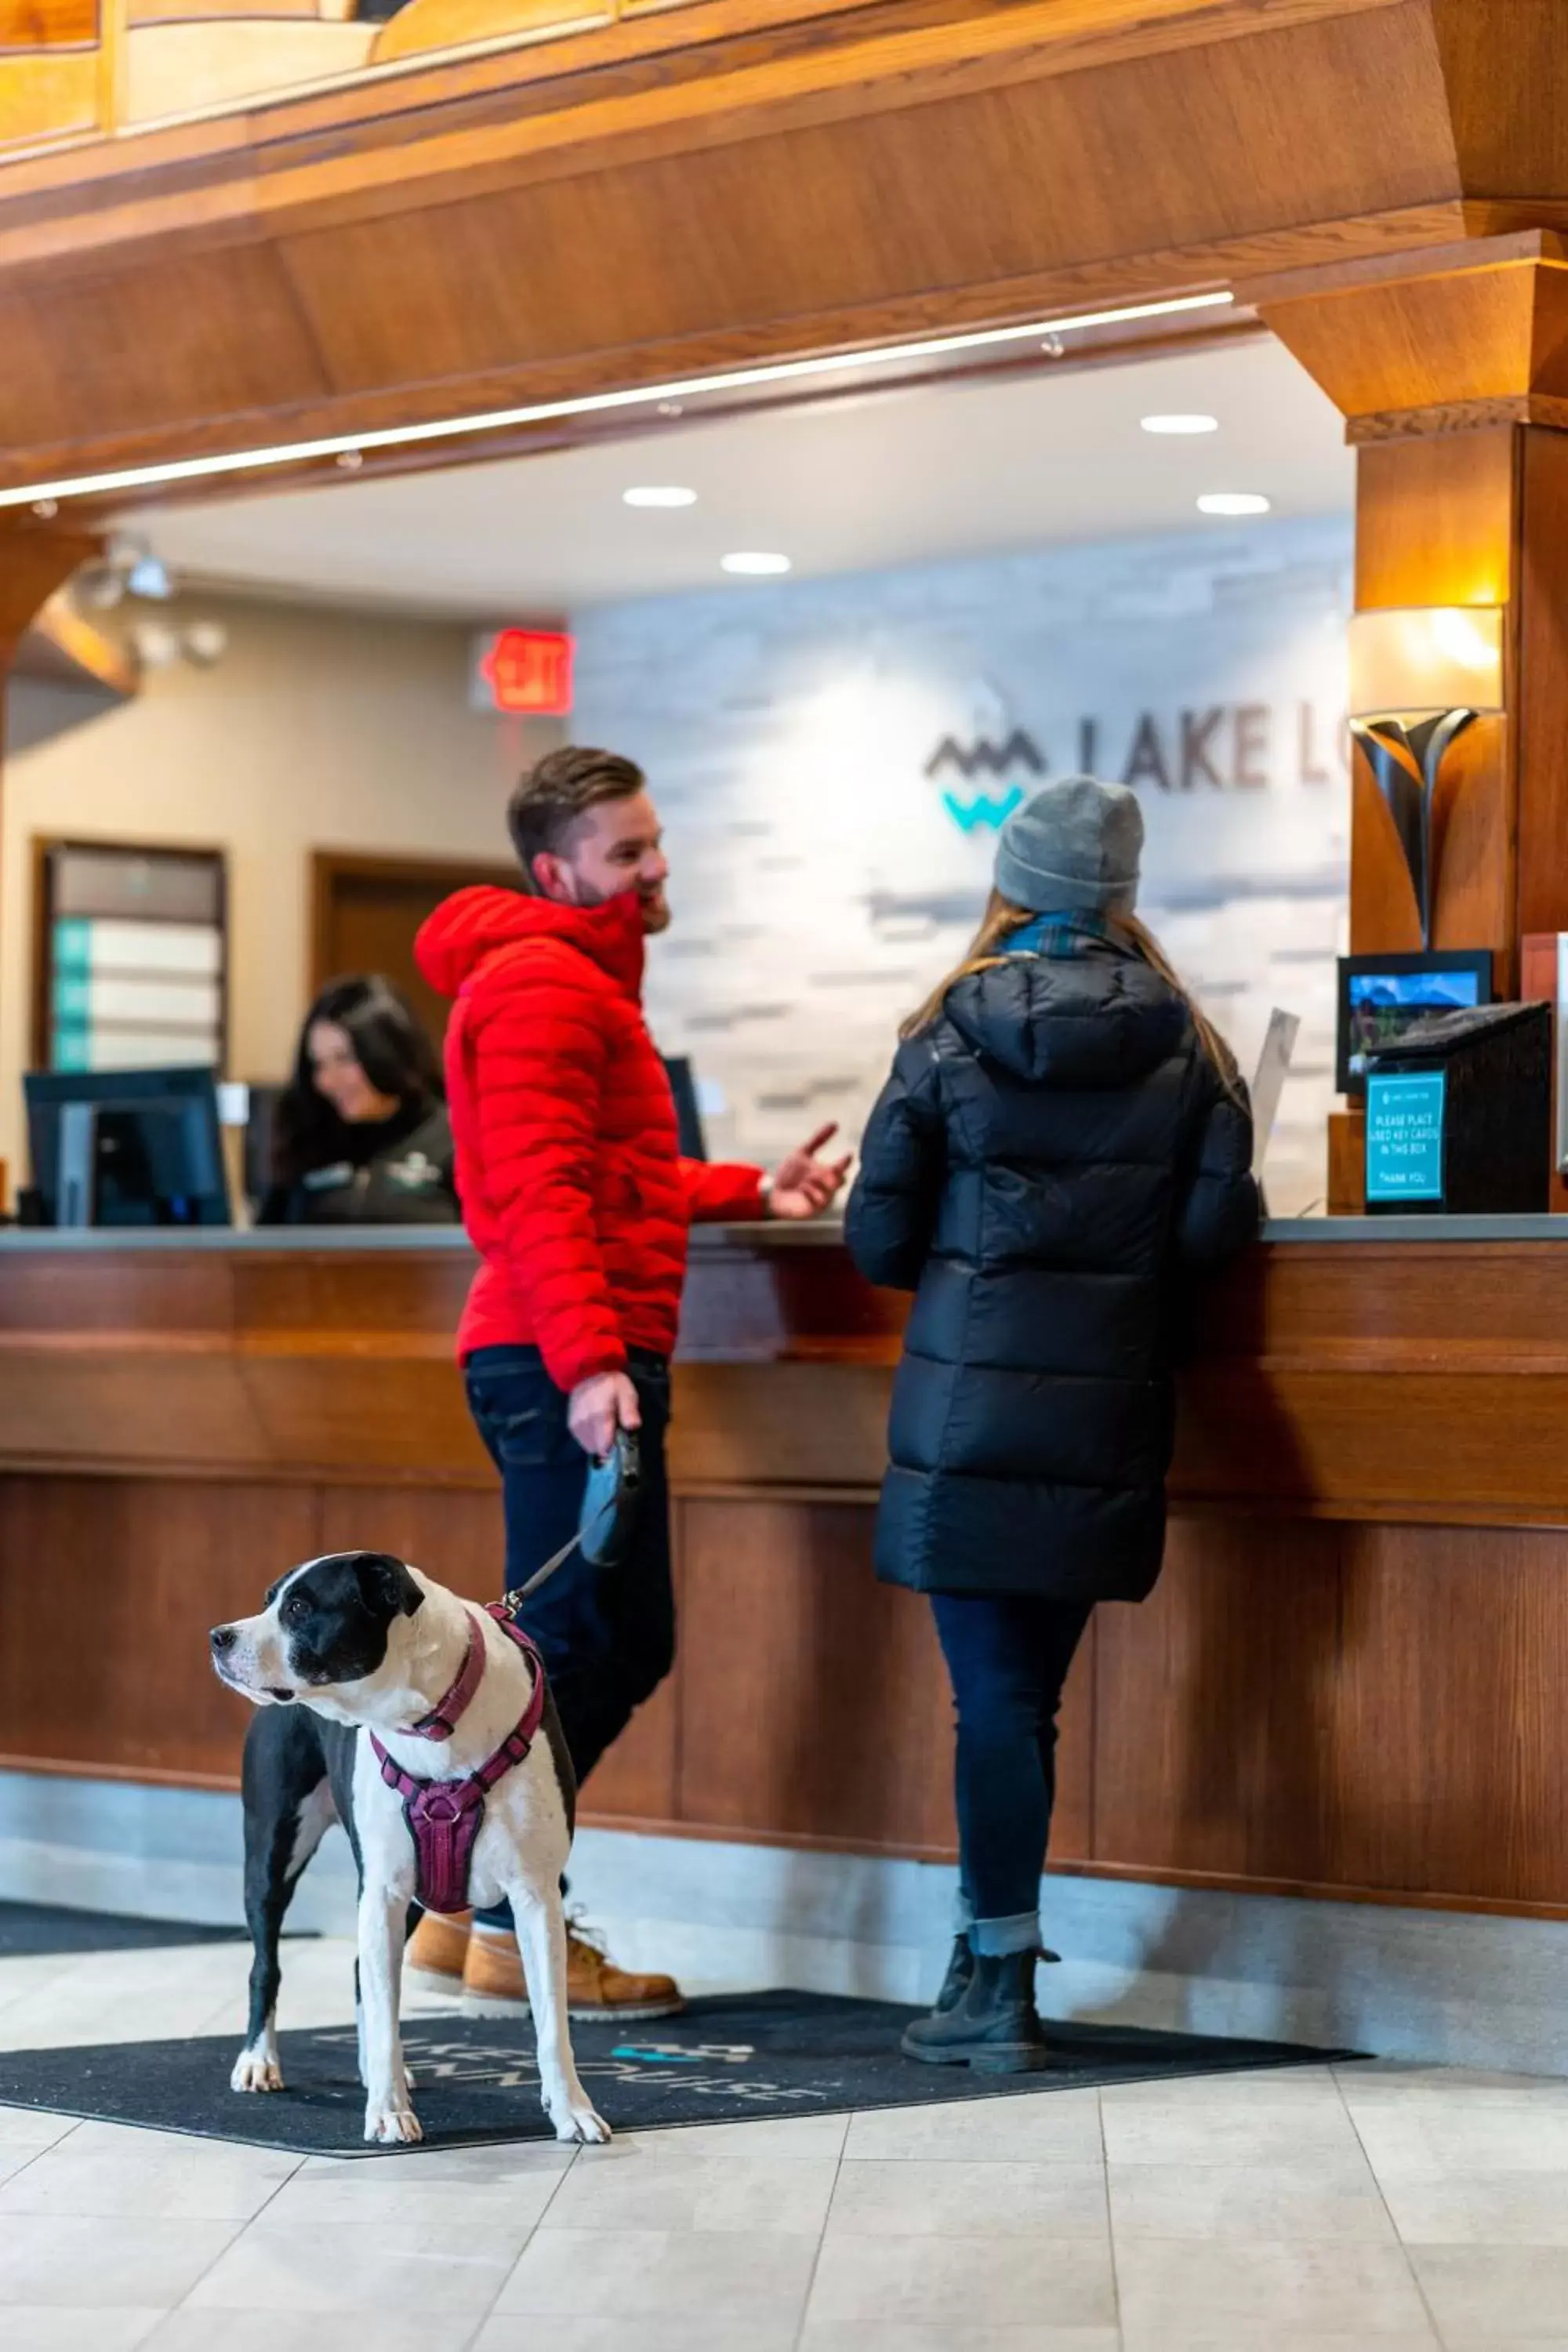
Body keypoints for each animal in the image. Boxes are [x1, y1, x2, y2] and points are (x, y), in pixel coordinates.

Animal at [212, 1552, 611, 2145]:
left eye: (299, 1608)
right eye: (269, 1601)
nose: (219, 1636)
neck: (433, 1718)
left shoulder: (536, 1895)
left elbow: (551, 2022)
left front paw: (572, 2110)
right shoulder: (384, 1892)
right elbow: (383, 2012)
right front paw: (387, 2111)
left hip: (420, 1897)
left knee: (362, 1971)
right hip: (272, 1852)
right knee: (267, 1965)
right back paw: (260, 2060)